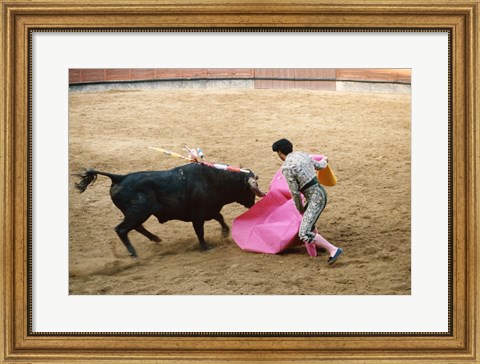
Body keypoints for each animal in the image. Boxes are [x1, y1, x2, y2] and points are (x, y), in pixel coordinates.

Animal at [74, 164, 266, 258]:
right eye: (250, 190)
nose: (254, 204)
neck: (215, 180)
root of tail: (119, 177)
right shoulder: (198, 215)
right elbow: (200, 232)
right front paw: (205, 248)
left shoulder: (210, 209)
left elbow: (220, 217)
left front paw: (225, 232)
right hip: (139, 212)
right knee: (121, 229)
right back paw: (133, 253)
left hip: (137, 214)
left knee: (135, 227)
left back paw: (155, 239)